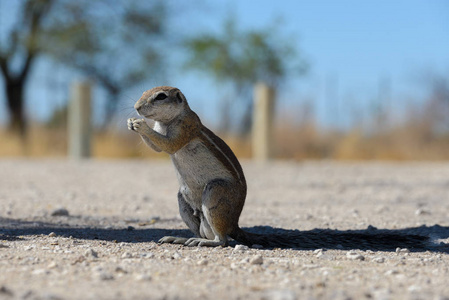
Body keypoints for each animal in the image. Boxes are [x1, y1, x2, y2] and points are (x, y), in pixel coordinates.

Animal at [128, 86, 258, 246]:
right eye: (143, 93)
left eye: (161, 96)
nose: (136, 107)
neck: (166, 122)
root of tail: (234, 224)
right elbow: (157, 147)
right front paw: (131, 122)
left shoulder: (186, 126)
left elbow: (169, 145)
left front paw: (141, 125)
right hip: (183, 201)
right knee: (203, 233)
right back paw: (181, 238)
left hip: (216, 192)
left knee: (222, 240)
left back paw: (205, 241)